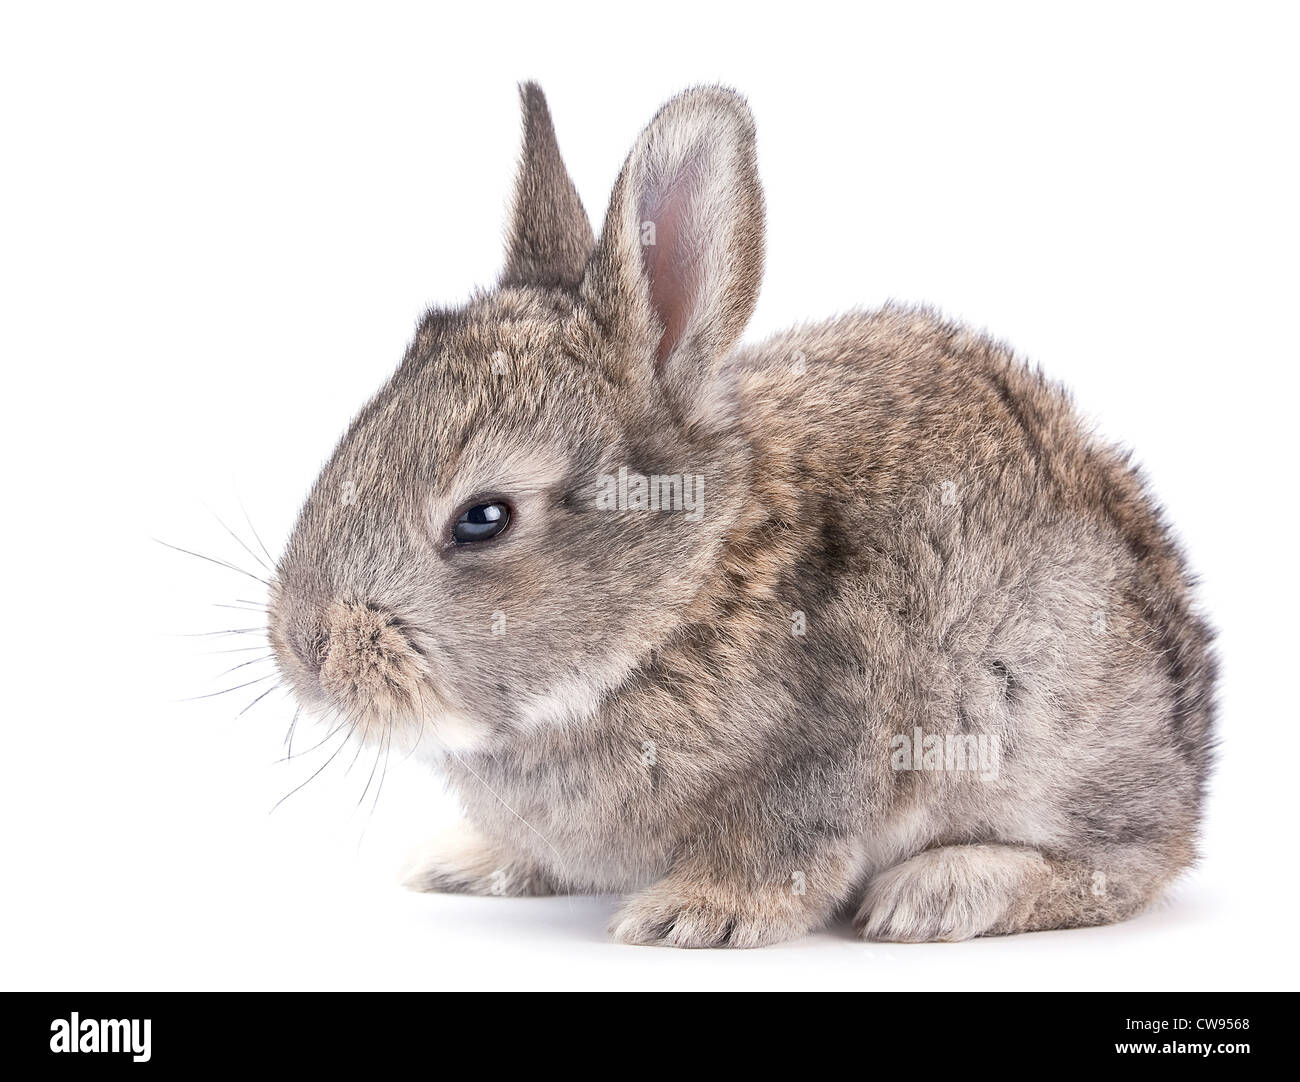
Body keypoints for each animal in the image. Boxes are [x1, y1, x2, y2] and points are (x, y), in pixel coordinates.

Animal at [266, 84, 1216, 946]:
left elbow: (783, 850)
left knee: (1124, 865)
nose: (304, 649)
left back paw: (940, 891)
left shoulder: (833, 755)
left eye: (484, 517)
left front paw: (694, 914)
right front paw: (465, 860)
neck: (683, 600)